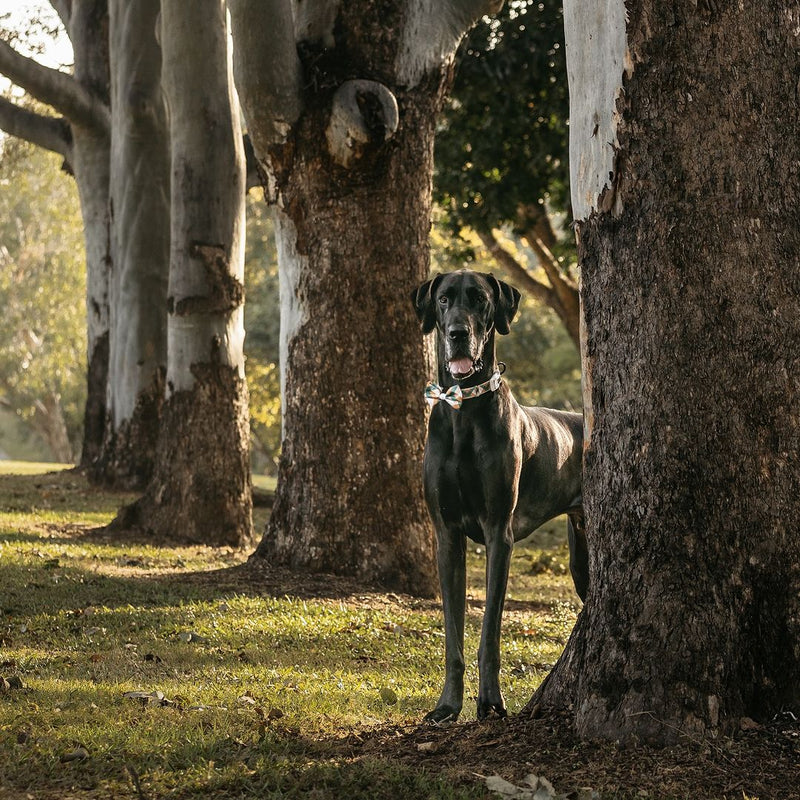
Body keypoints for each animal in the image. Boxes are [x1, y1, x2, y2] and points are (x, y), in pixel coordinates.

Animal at [412, 270, 588, 724]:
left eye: (480, 299)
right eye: (443, 299)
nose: (457, 333)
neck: (464, 409)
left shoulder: (498, 533)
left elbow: (489, 630)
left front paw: (490, 702)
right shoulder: (447, 535)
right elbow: (453, 634)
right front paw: (448, 705)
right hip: (581, 558)